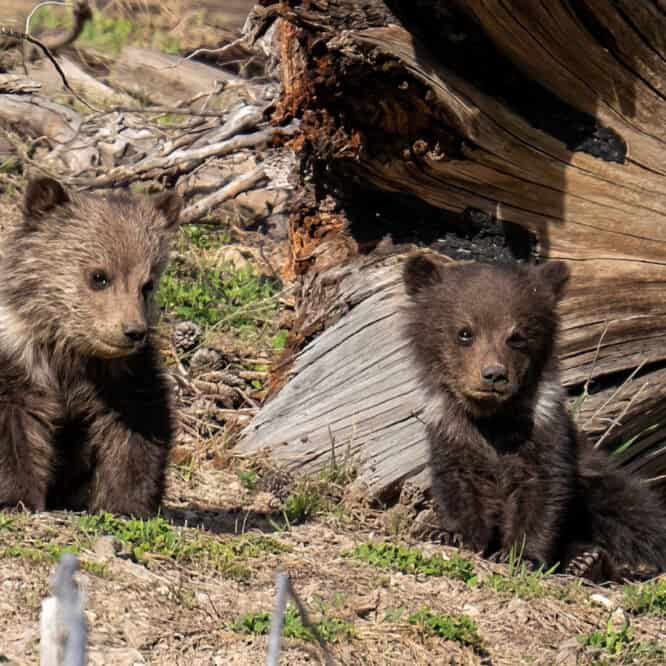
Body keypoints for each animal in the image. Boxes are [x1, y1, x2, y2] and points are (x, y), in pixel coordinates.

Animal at [0, 176, 182, 517]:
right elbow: (13, 425)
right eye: (99, 276)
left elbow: (138, 427)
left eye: (147, 283)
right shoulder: (16, 361)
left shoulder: (122, 375)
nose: (133, 331)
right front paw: (15, 497)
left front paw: (126, 503)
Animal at [403, 253, 666, 579]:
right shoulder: (451, 433)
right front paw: (449, 534)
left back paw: (606, 561)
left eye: (516, 336)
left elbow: (543, 495)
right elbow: (457, 486)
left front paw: (521, 555)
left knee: (632, 512)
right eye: (464, 332)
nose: (494, 375)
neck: (494, 420)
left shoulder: (545, 435)